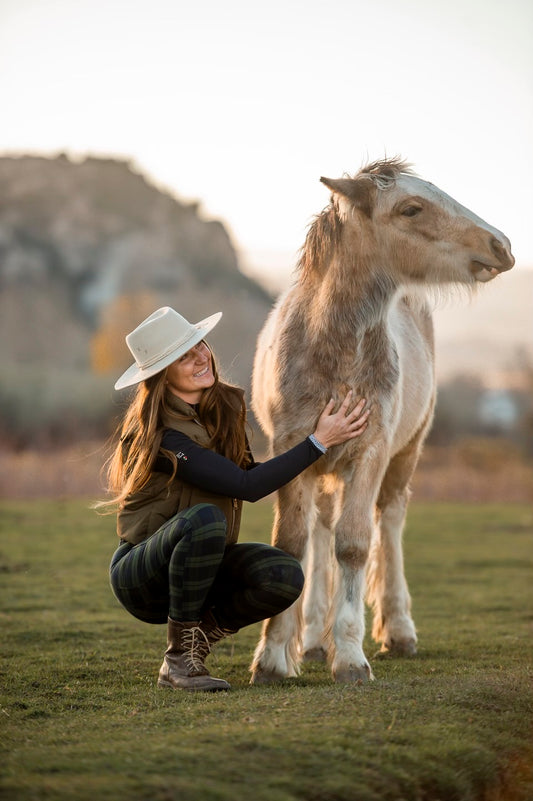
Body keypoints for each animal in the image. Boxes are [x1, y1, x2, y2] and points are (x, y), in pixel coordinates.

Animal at [251, 159, 512, 684]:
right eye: (411, 208)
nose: (502, 246)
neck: (331, 350)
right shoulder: (288, 450)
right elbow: (293, 542)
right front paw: (274, 656)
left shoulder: (370, 452)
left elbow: (354, 545)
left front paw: (350, 657)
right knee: (321, 530)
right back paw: (314, 639)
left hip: (404, 455)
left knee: (388, 522)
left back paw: (397, 631)